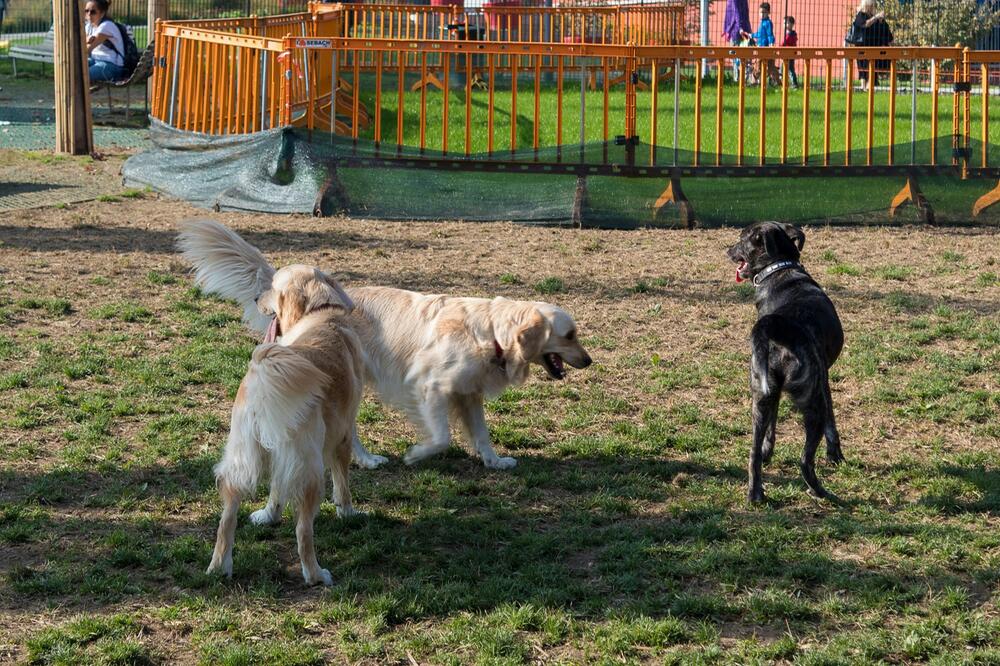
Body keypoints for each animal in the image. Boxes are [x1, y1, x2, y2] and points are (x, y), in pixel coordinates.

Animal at [178, 220, 592, 470]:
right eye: (570, 335)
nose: (589, 361)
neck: (490, 332)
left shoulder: (468, 392)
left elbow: (482, 434)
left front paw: (494, 461)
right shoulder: (430, 386)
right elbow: (442, 437)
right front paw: (417, 453)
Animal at [204, 262, 364, 584]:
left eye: (273, 286)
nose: (256, 298)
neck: (320, 315)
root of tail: (266, 378)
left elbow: (276, 491)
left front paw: (269, 515)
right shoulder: (342, 435)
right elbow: (342, 483)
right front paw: (348, 513)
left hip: (244, 455)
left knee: (227, 518)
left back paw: (219, 566)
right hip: (309, 469)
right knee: (303, 531)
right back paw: (315, 574)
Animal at [728, 220, 844, 500]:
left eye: (741, 239)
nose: (727, 250)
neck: (780, 270)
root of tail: (775, 331)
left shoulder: (773, 393)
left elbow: (771, 429)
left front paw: (768, 452)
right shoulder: (823, 381)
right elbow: (832, 422)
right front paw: (835, 455)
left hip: (760, 396)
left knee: (753, 452)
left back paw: (755, 493)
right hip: (812, 406)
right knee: (805, 460)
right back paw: (821, 492)